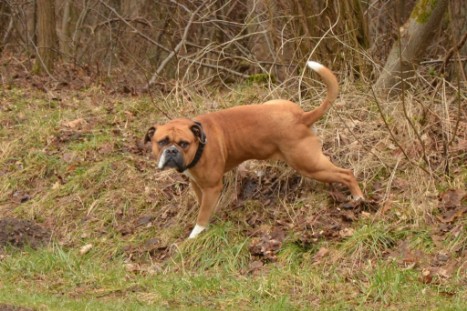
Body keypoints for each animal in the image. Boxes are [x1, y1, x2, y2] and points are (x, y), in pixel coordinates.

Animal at [146, 60, 366, 239]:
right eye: (162, 142)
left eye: (184, 143)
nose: (172, 151)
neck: (200, 143)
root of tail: (301, 117)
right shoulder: (199, 186)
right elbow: (204, 207)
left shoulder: (212, 187)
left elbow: (201, 217)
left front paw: (194, 237)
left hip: (309, 164)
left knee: (346, 173)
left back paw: (358, 198)